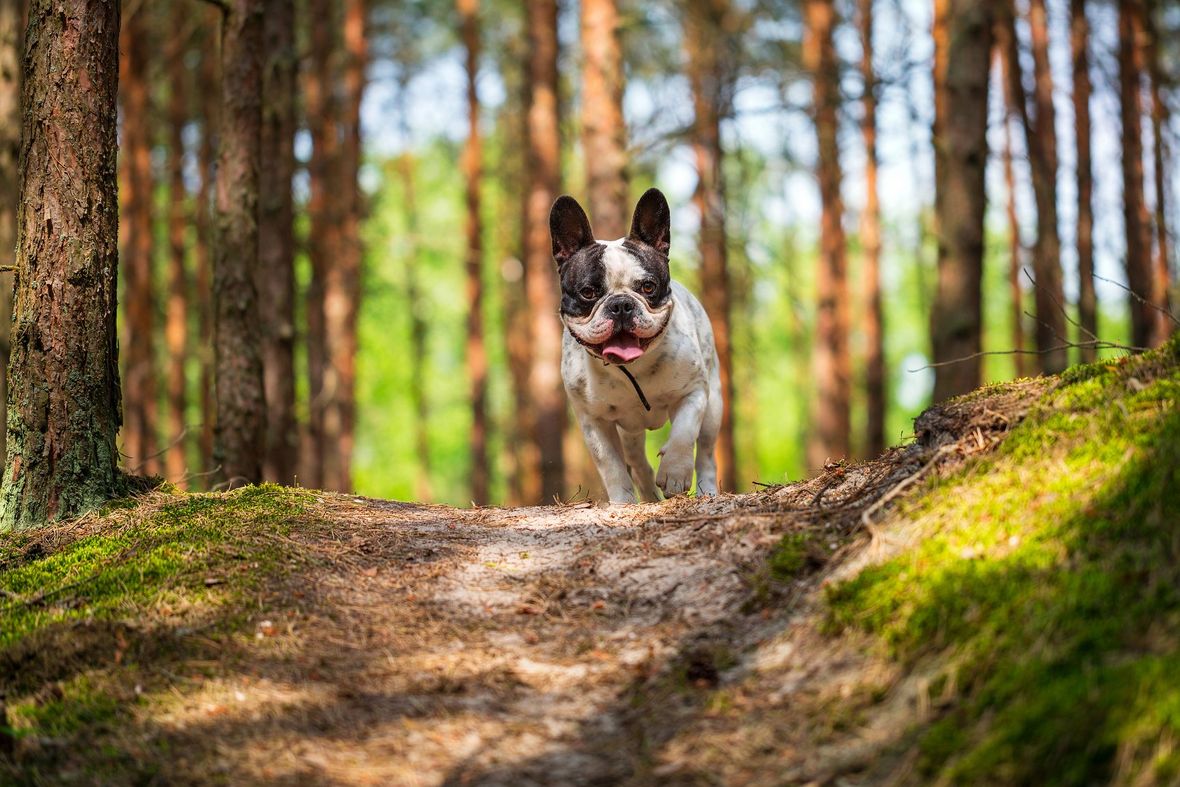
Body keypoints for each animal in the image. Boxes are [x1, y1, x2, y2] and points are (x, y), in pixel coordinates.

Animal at [549, 187, 722, 505]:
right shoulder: (594, 421)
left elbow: (683, 434)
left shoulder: (693, 393)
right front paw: (622, 502)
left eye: (648, 287)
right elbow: (611, 465)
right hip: (630, 430)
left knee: (705, 451)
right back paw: (647, 493)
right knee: (636, 460)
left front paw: (675, 474)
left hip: (714, 405)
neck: (633, 369)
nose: (620, 305)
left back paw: (708, 491)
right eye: (588, 292)